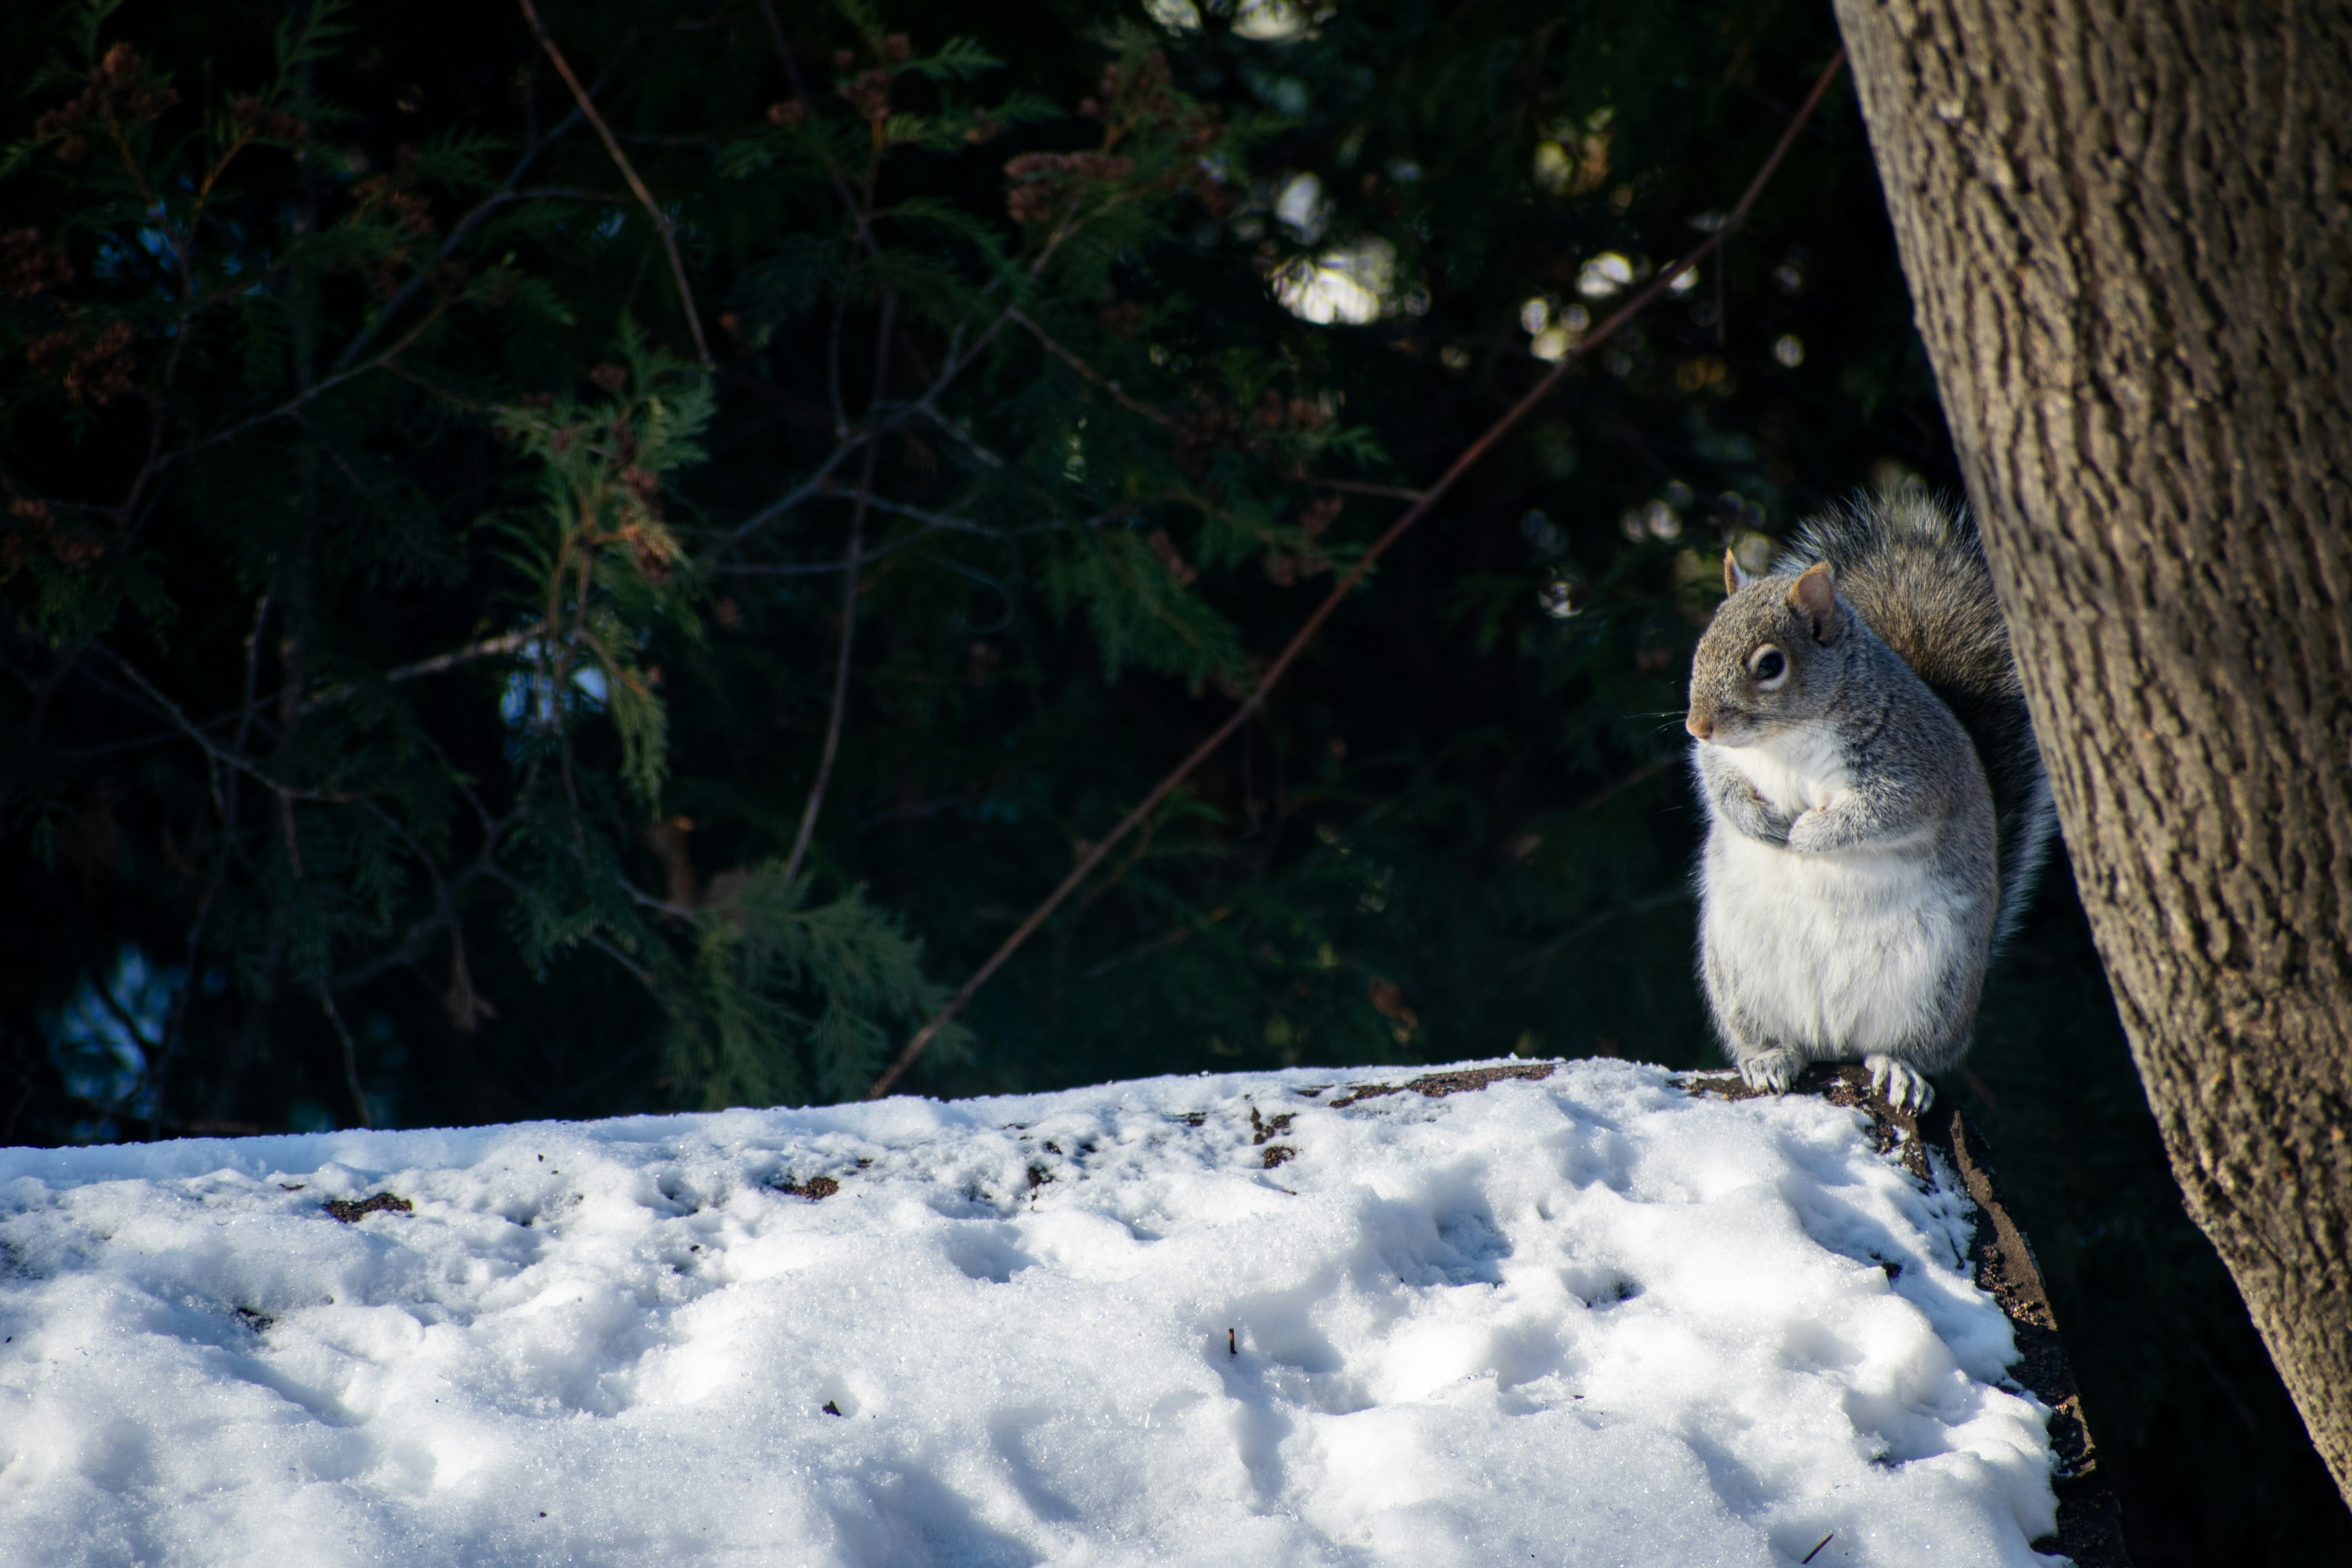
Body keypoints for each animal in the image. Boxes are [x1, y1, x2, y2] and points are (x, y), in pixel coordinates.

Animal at [1683, 490, 2055, 1109]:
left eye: (1770, 665)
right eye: (1701, 645)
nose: (1698, 726)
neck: (1784, 741)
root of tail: (1832, 1037)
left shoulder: (1913, 771)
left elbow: (1879, 813)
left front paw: (1807, 834)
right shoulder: (1721, 761)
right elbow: (1720, 786)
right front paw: (1762, 822)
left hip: (1935, 984)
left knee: (1904, 1048)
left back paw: (1899, 1070)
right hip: (1737, 976)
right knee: (1777, 1040)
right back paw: (1770, 1058)